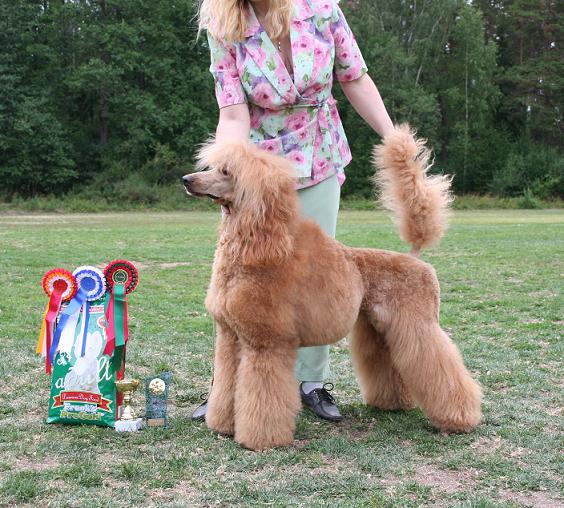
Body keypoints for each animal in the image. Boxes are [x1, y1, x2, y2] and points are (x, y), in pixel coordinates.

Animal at [183, 125, 482, 451]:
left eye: (226, 171)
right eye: (212, 166)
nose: (186, 180)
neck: (252, 251)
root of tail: (414, 256)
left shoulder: (267, 343)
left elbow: (262, 394)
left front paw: (261, 440)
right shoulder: (230, 338)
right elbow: (226, 384)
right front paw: (223, 425)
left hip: (417, 323)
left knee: (440, 365)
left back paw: (459, 418)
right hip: (380, 327)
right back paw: (392, 404)